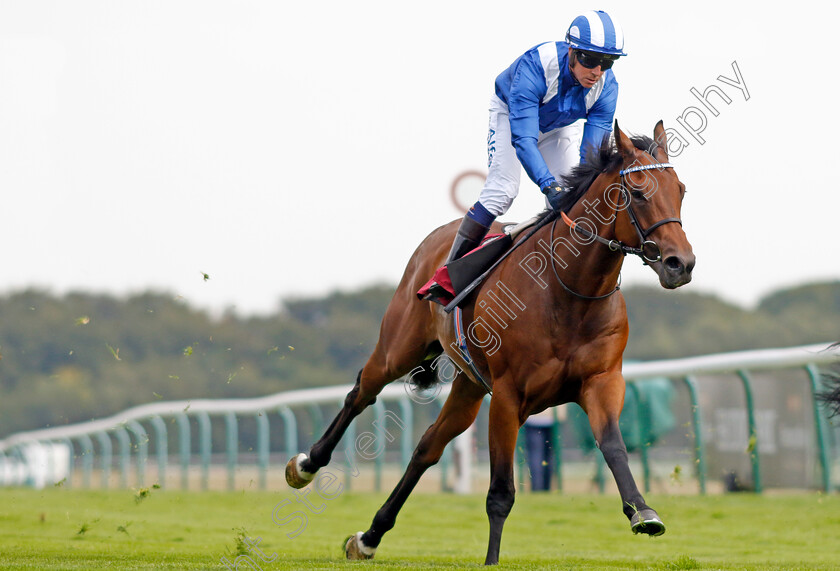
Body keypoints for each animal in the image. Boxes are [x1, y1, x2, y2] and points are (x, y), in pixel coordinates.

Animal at [286, 122, 692, 568]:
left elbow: (613, 445)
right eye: (637, 192)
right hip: (400, 348)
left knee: (427, 446)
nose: (681, 264)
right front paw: (492, 559)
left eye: (681, 190)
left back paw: (370, 536)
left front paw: (643, 512)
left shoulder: (602, 381)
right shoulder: (508, 395)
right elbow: (500, 491)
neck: (570, 293)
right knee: (362, 392)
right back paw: (306, 465)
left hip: (469, 384)